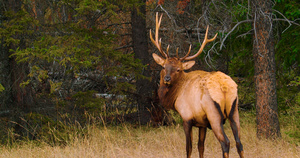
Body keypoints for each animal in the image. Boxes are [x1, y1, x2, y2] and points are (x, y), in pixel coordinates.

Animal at [150, 12, 244, 158]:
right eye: (164, 66)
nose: (166, 78)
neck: (175, 96)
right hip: (234, 111)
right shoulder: (202, 123)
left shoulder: (187, 118)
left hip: (214, 114)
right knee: (239, 143)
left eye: (178, 69)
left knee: (226, 142)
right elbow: (201, 146)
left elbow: (189, 148)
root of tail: (224, 88)